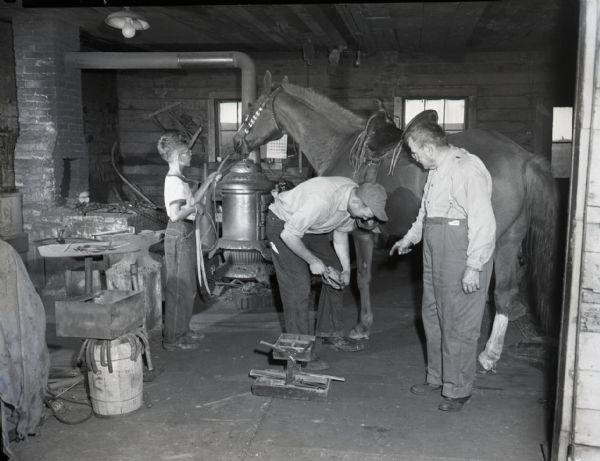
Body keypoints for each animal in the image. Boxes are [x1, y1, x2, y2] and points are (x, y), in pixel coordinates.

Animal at [233, 73, 556, 374]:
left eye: (252, 108)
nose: (237, 142)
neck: (340, 146)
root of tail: (523, 158)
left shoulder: (360, 232)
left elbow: (362, 277)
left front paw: (361, 327)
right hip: (509, 241)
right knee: (504, 293)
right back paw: (489, 354)